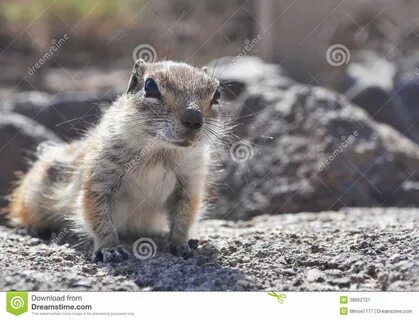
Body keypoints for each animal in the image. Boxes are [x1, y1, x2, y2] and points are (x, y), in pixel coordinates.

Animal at [6, 59, 230, 262]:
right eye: (150, 87)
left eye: (217, 94)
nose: (193, 118)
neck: (158, 151)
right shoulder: (99, 178)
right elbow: (98, 215)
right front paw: (110, 248)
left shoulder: (190, 183)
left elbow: (184, 217)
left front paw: (180, 244)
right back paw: (32, 228)